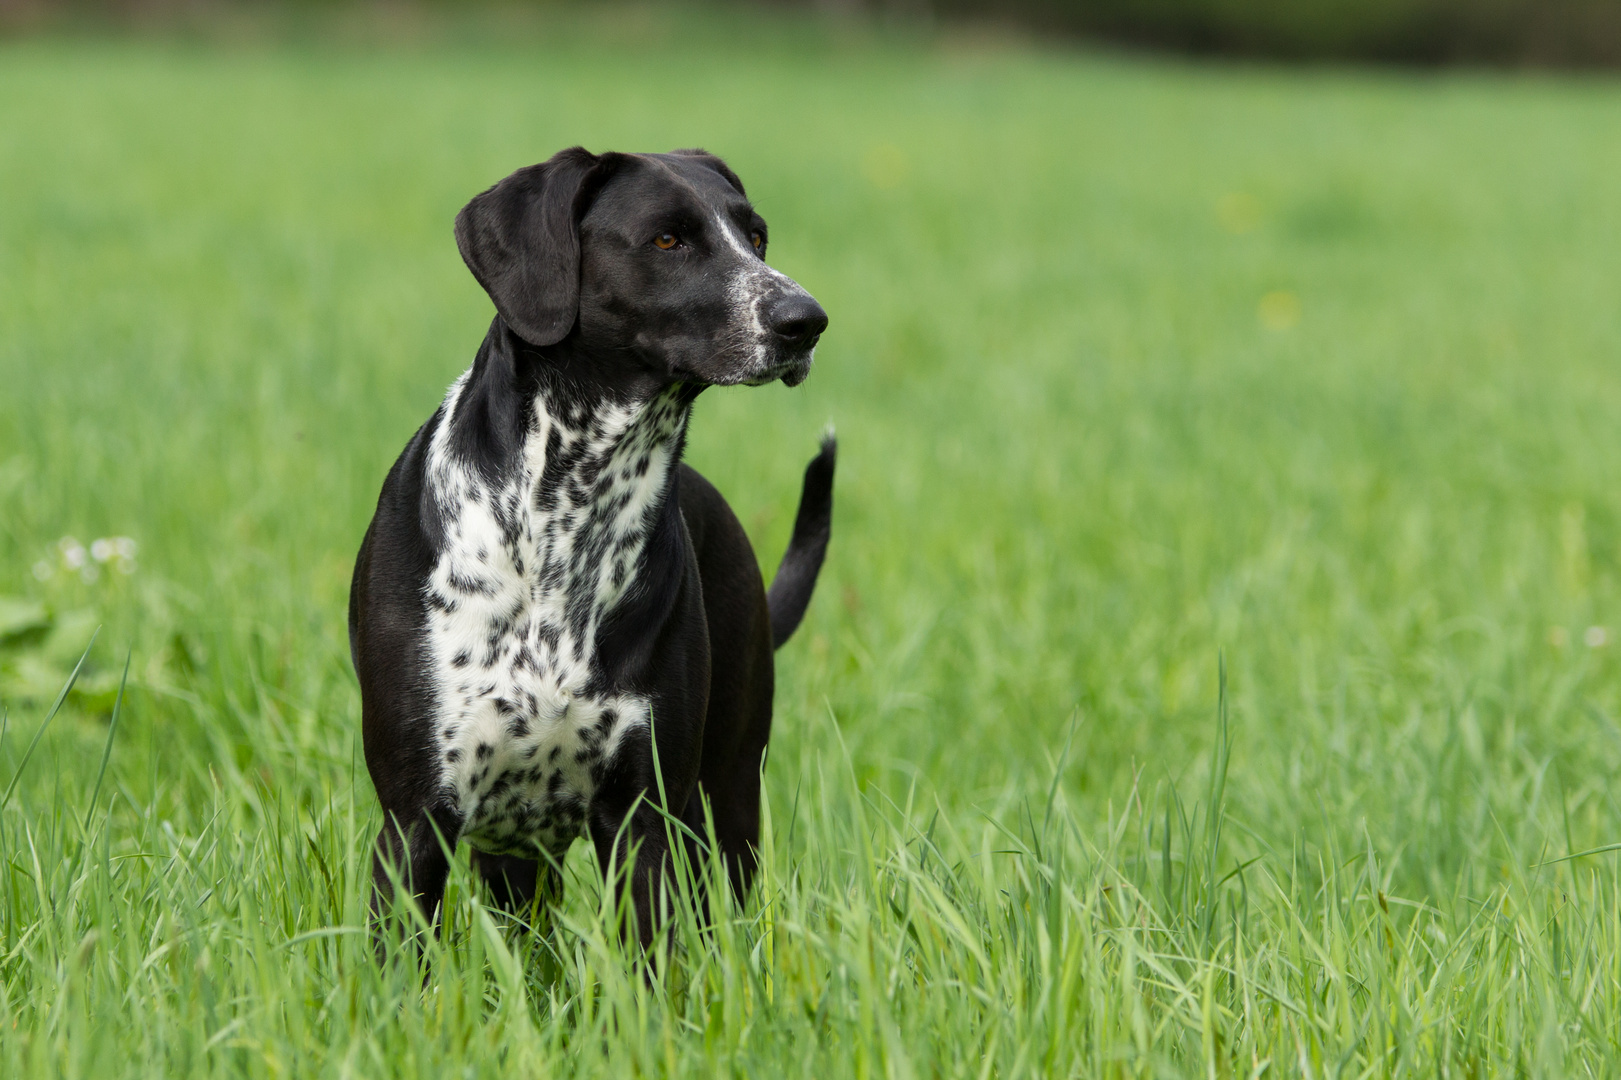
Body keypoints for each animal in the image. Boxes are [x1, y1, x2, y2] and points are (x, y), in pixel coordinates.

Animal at [351, 147, 836, 947]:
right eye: (668, 240)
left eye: (757, 237)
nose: (806, 320)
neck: (567, 518)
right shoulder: (415, 822)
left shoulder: (643, 822)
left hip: (727, 800)